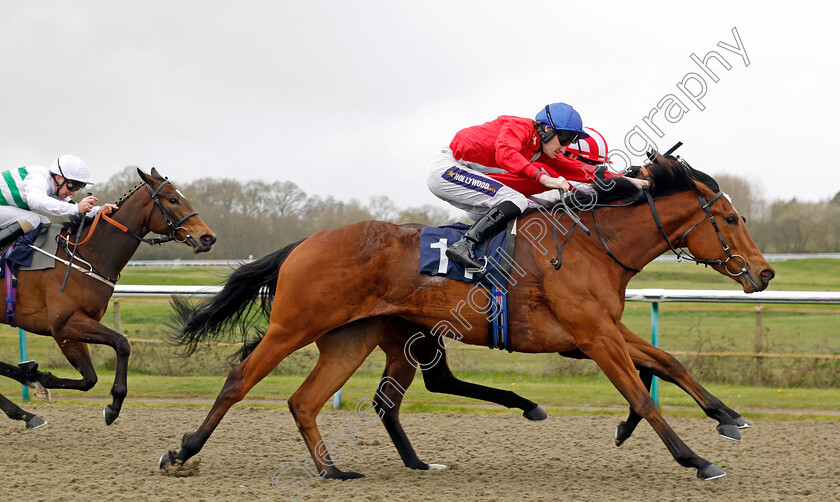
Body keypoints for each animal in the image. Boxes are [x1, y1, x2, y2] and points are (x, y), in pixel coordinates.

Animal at [1, 168, 217, 428]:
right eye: (173, 199)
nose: (208, 237)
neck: (84, 256)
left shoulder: (75, 327)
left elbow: (90, 379)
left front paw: (35, 376)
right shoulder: (63, 325)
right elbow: (121, 343)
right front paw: (113, 405)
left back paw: (23, 412)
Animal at [161, 155, 776, 480]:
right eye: (730, 217)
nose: (765, 273)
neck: (590, 244)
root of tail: (304, 242)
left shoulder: (604, 328)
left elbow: (668, 362)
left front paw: (728, 416)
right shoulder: (592, 334)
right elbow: (644, 395)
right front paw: (695, 458)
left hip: (354, 338)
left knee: (310, 400)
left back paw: (336, 469)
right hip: (297, 326)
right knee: (241, 379)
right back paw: (182, 450)